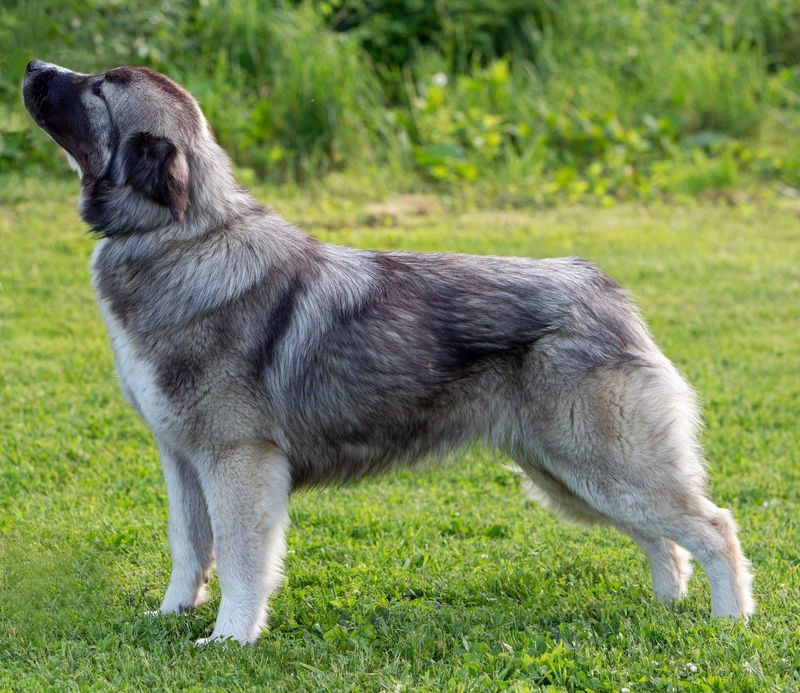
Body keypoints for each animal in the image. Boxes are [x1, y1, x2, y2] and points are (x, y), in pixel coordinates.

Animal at [21, 59, 752, 644]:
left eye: (100, 88)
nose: (33, 66)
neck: (180, 237)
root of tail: (604, 289)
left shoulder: (238, 463)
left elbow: (239, 559)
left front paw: (230, 638)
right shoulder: (181, 459)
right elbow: (188, 547)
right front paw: (173, 614)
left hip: (602, 468)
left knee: (713, 526)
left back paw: (730, 621)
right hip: (570, 477)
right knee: (665, 541)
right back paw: (666, 606)